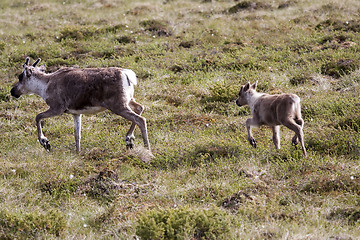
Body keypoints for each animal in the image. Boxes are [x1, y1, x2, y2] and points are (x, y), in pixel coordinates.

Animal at [10, 57, 150, 153]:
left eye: (20, 76)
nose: (12, 91)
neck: (45, 86)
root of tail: (127, 74)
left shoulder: (57, 108)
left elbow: (37, 116)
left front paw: (45, 142)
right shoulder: (76, 113)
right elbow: (77, 134)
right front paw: (78, 152)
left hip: (118, 105)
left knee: (140, 119)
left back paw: (146, 147)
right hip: (128, 100)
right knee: (140, 107)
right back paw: (129, 139)